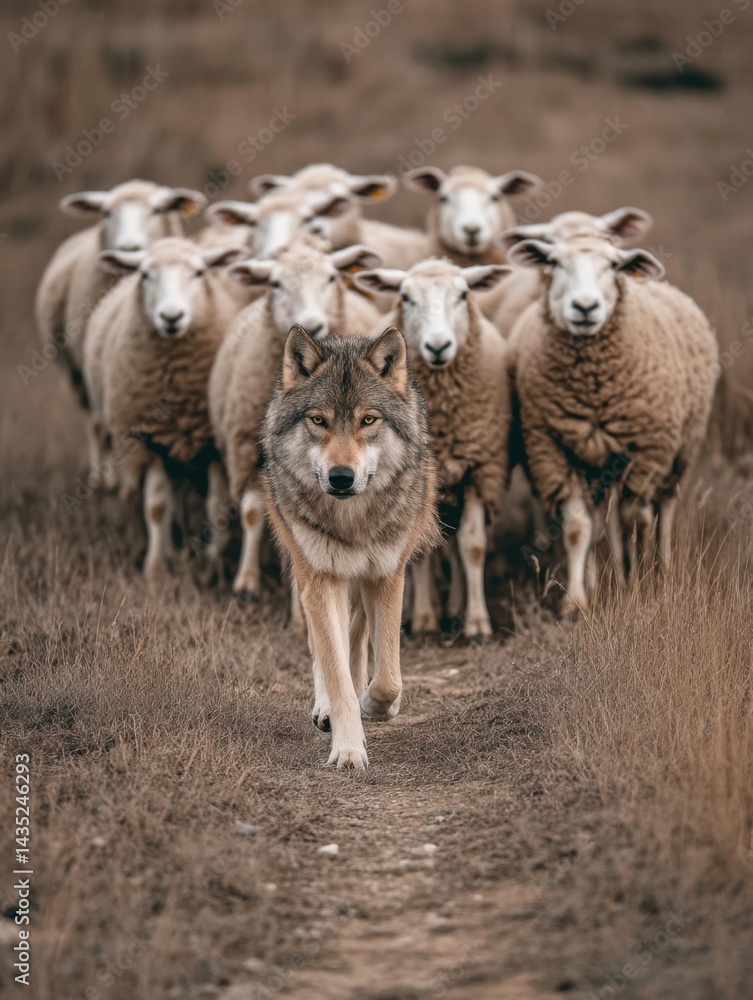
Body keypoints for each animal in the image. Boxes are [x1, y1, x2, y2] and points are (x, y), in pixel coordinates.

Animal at [82, 237, 242, 581]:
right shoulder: (149, 440)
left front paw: (212, 564)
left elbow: (215, 506)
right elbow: (156, 506)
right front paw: (155, 569)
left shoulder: (213, 446)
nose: (171, 317)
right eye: (145, 275)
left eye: (198, 273)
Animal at [206, 236, 383, 603]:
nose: (312, 325)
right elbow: (253, 512)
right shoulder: (248, 451)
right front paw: (247, 584)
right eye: (276, 283)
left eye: (331, 278)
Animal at [261, 325, 440, 770]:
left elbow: (389, 675)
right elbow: (335, 669)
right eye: (319, 420)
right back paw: (326, 709)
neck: (353, 521)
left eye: (368, 420)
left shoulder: (388, 574)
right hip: (312, 571)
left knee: (357, 636)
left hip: (360, 580)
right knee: (325, 647)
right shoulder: (321, 578)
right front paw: (347, 748)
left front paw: (376, 705)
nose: (341, 477)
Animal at [353, 258, 512, 638]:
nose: (438, 346)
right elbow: (419, 550)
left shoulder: (476, 469)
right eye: (406, 297)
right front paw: (424, 618)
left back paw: (453, 605)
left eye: (464, 294)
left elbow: (472, 545)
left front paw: (476, 623)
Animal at [506, 234, 719, 615]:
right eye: (555, 263)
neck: (592, 386)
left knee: (662, 511)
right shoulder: (555, 450)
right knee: (602, 518)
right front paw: (576, 600)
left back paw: (660, 569)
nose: (585, 306)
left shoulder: (646, 451)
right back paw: (600, 578)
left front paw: (635, 584)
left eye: (614, 266)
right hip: (598, 463)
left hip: (680, 453)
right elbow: (578, 526)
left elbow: (633, 520)